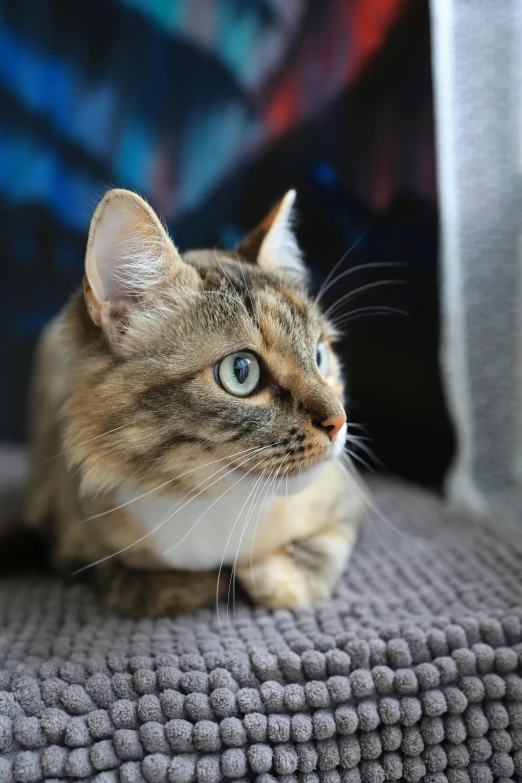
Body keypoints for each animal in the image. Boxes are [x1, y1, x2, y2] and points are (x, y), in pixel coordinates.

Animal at [26, 190, 364, 620]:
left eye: (320, 356)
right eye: (241, 371)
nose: (339, 421)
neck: (207, 503)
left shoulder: (347, 503)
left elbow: (299, 570)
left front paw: (260, 575)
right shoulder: (71, 534)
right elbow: (129, 579)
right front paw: (201, 583)